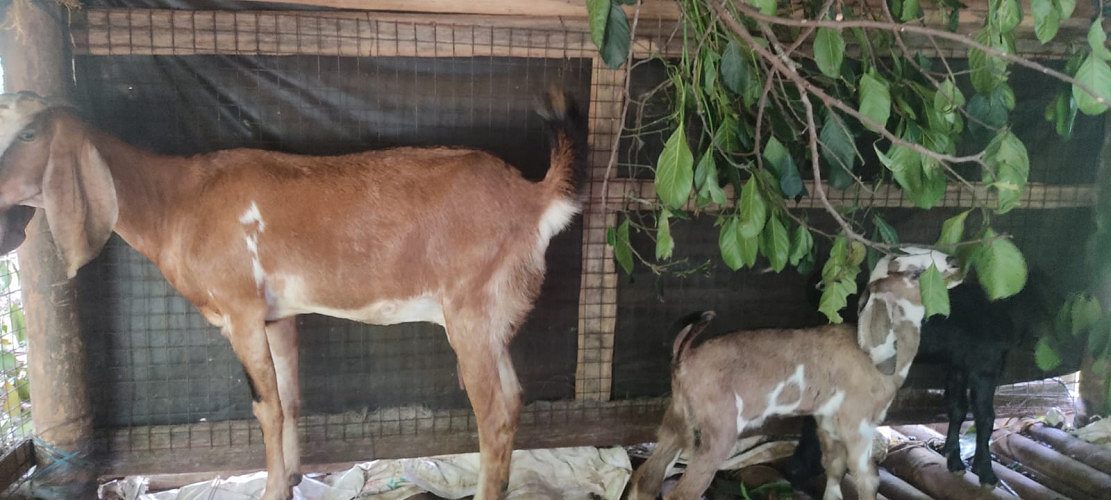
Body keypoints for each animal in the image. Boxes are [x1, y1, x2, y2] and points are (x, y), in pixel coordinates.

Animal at [0, 90, 584, 500]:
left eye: (28, 132)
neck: (177, 201)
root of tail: (532, 196)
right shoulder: (277, 316)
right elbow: (290, 396)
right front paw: (297, 473)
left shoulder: (240, 309)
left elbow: (266, 407)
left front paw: (272, 487)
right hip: (492, 318)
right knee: (514, 397)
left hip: (470, 308)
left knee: (494, 410)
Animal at [629, 249, 960, 500]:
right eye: (915, 274)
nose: (955, 262)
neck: (874, 357)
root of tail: (686, 356)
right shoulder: (859, 423)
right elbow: (868, 480)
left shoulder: (826, 421)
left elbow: (834, 470)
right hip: (717, 431)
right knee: (680, 492)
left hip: (678, 420)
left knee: (646, 479)